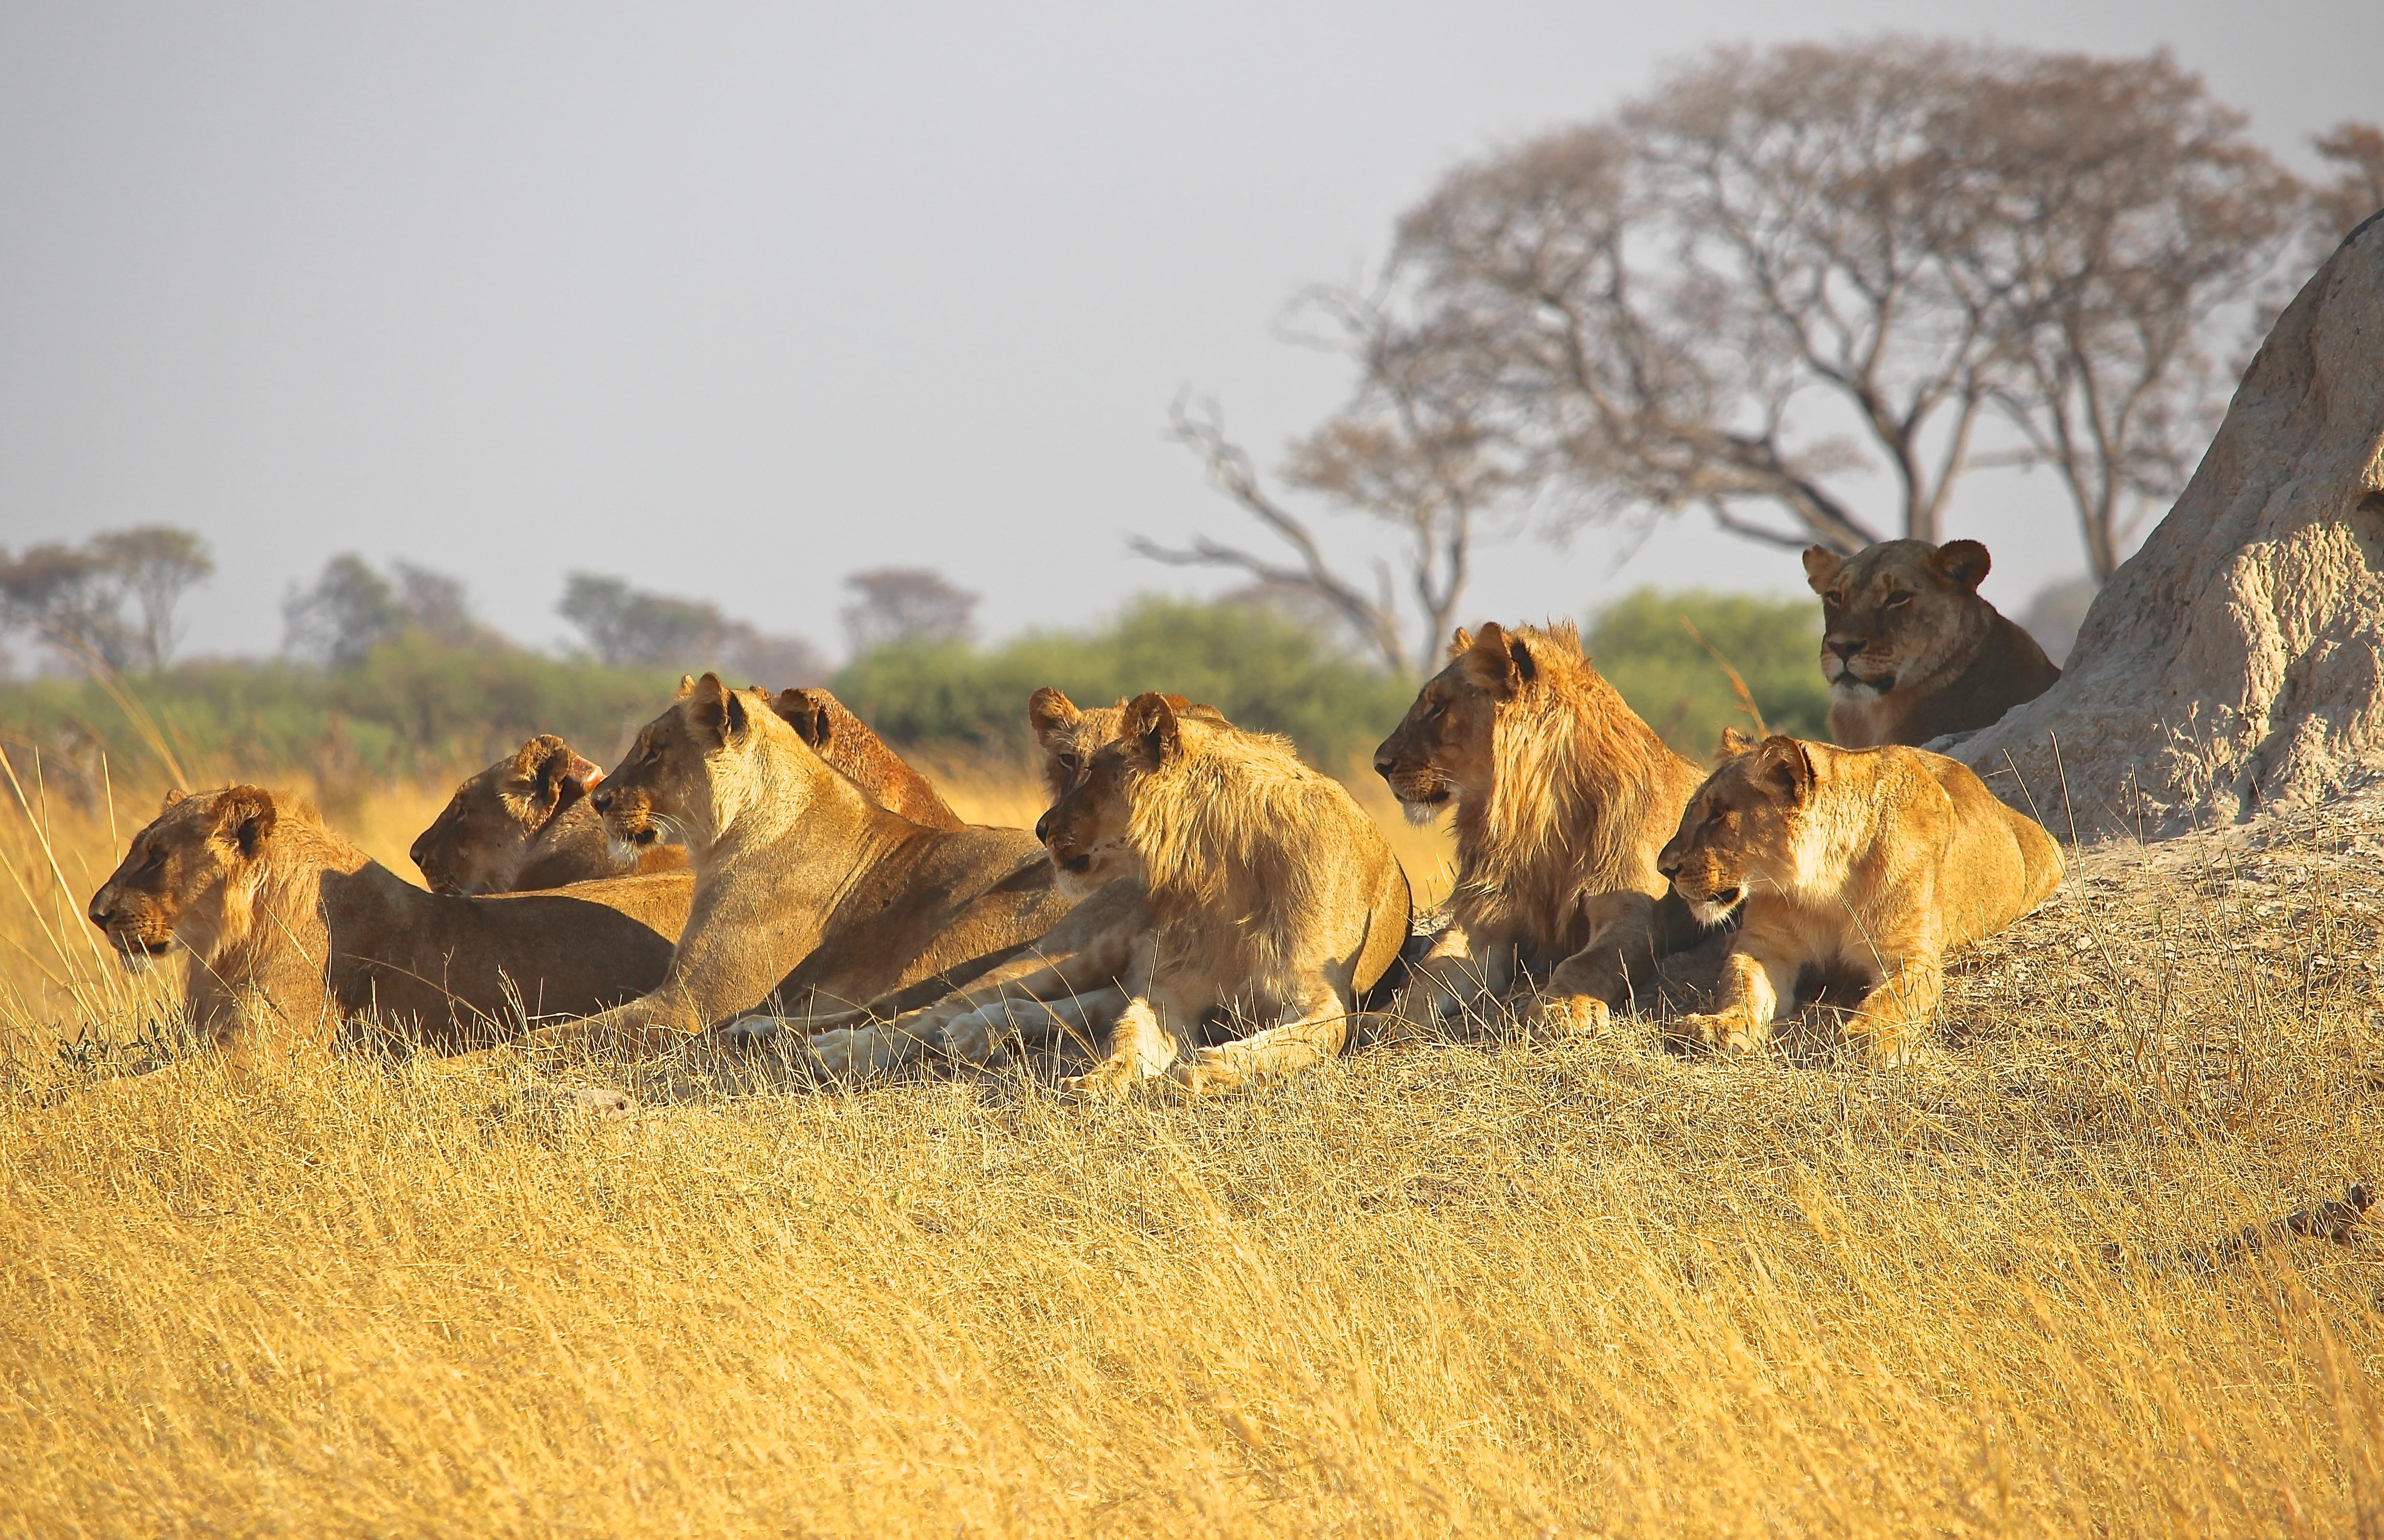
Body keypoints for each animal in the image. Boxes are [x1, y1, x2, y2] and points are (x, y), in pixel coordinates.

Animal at [527, 673, 1080, 1058]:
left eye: (654, 752)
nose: (598, 800)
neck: (724, 839)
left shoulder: (691, 1002)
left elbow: (559, 1035)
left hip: (969, 925)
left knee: (917, 1008)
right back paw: (760, 1030)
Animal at [1372, 621, 1716, 1033]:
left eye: (1438, 706)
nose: (1379, 764)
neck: (1538, 820)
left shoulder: (1635, 913)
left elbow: (1587, 962)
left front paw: (1562, 1008)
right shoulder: (1484, 920)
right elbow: (1429, 974)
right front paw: (1383, 1020)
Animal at [1656, 733, 2064, 1065]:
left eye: (1717, 814)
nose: (1664, 868)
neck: (1824, 886)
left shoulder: (1910, 956)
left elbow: (1892, 999)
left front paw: (1867, 1036)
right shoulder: (1765, 947)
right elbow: (1740, 985)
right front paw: (1718, 1026)